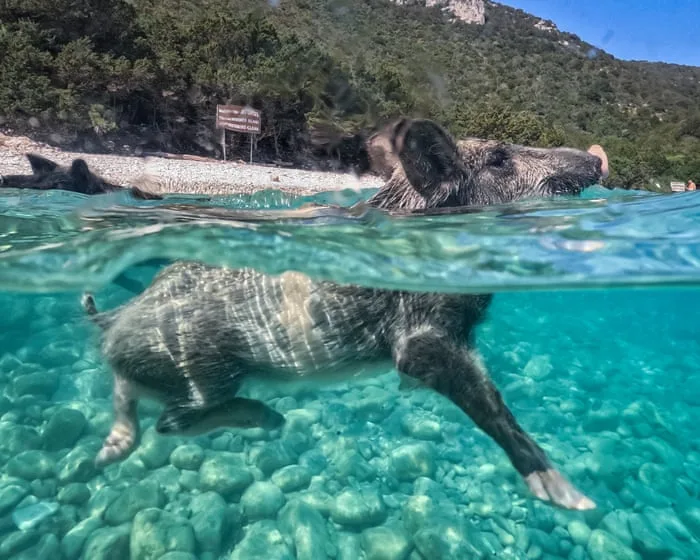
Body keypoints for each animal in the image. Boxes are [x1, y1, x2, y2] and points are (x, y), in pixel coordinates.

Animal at [82, 118, 608, 510]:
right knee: (171, 422)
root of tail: (113, 323)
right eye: (500, 158)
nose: (596, 159)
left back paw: (111, 451)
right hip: (209, 370)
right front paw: (574, 499)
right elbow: (492, 405)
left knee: (129, 405)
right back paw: (268, 418)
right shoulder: (422, 335)